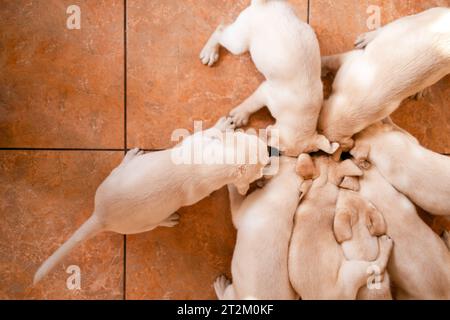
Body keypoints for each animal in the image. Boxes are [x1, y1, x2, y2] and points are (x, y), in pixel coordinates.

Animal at [214, 155, 312, 300]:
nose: (276, 154)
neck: (285, 189)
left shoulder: (239, 212)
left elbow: (235, 196)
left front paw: (232, 183)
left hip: (233, 293)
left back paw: (220, 286)